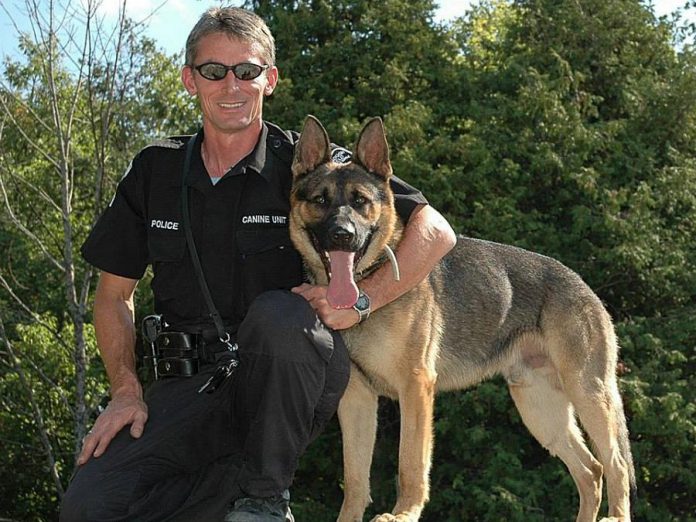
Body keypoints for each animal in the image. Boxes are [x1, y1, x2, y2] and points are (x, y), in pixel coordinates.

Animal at [288, 116, 636, 516]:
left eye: (360, 202)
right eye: (321, 200)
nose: (342, 235)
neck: (367, 290)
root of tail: (585, 286)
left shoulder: (416, 387)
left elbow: (410, 465)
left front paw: (403, 514)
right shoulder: (357, 399)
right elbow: (356, 480)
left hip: (587, 391)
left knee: (615, 463)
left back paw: (616, 517)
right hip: (539, 407)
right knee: (590, 471)